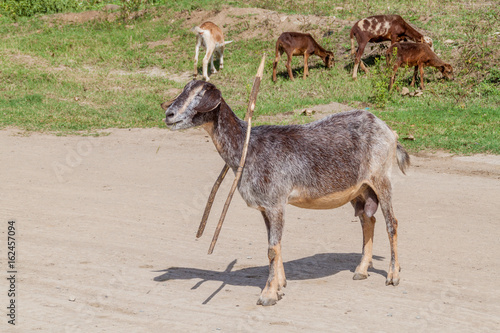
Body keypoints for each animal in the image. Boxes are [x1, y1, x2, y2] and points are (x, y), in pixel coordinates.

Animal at [163, 80, 410, 306]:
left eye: (199, 94)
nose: (169, 114)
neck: (248, 147)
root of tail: (387, 129)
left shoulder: (275, 202)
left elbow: (272, 249)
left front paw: (268, 295)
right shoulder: (265, 207)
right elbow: (275, 245)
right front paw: (280, 285)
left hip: (381, 177)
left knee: (392, 223)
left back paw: (393, 275)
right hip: (360, 188)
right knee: (368, 220)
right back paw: (361, 270)